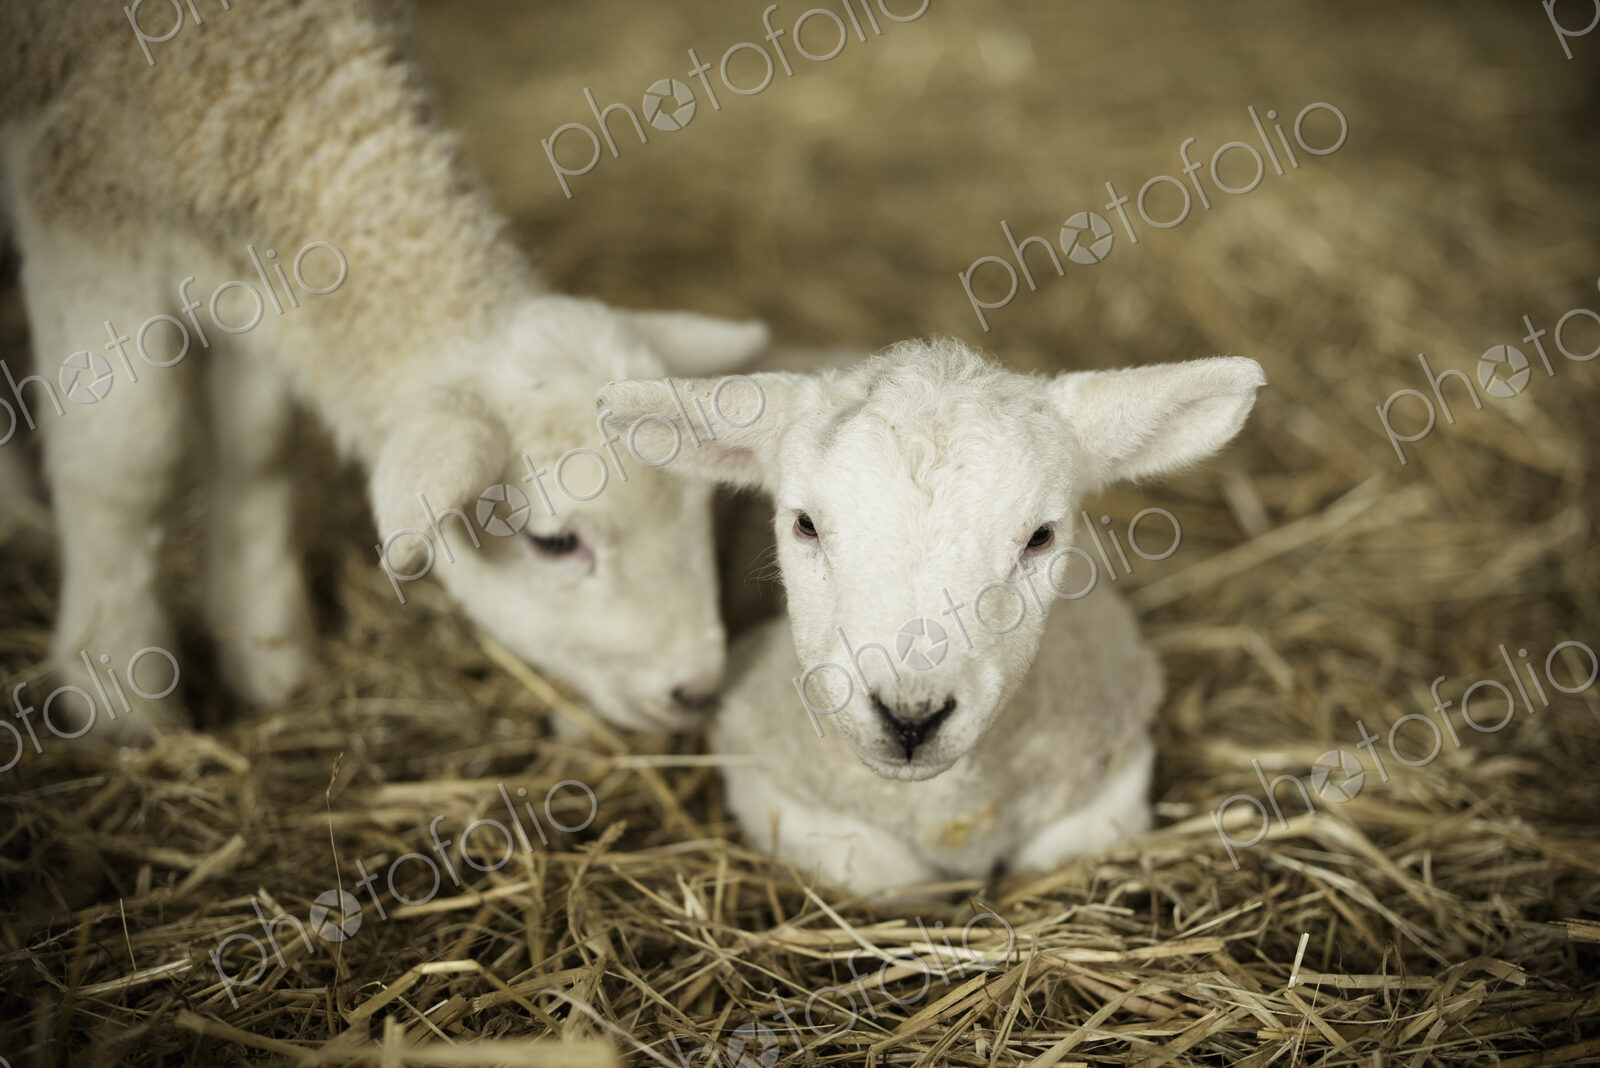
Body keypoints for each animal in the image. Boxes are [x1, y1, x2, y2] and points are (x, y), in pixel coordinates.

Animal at [0, 0, 767, 741]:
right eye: (555, 543)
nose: (697, 693)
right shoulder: (85, 212)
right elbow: (128, 465)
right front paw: (118, 698)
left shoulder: (251, 279)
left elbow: (257, 450)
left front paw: (271, 661)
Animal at [598, 340, 1265, 893]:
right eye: (804, 524)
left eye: (1041, 536)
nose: (910, 717)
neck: (946, 808)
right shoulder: (769, 779)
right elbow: (890, 878)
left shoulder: (1112, 770)